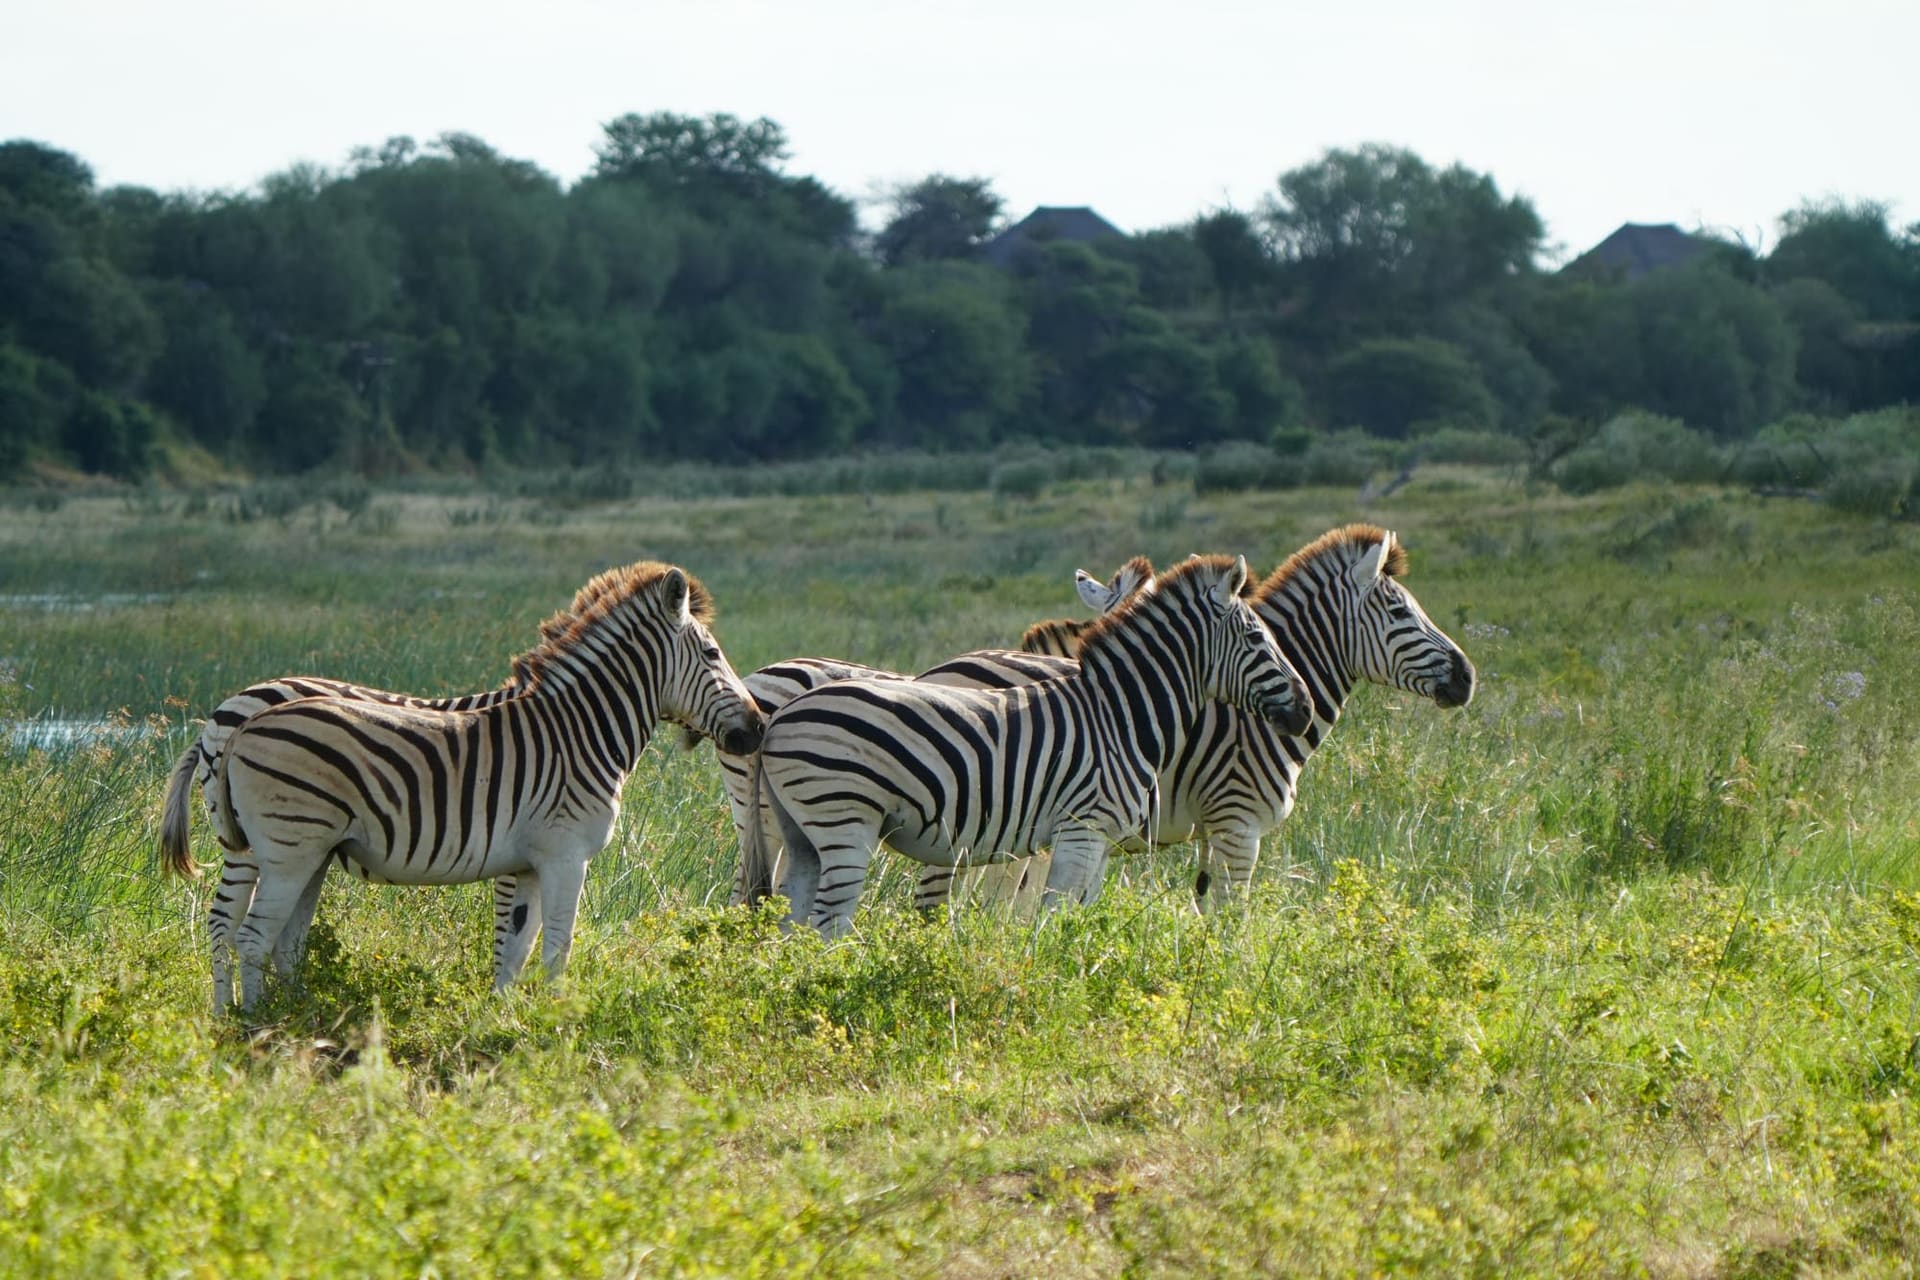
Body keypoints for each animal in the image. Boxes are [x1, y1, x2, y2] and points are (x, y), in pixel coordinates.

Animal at [159, 561, 765, 1011]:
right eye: (714, 654)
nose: (757, 729)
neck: (576, 730)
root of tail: (239, 719)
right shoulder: (564, 854)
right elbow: (557, 947)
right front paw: (560, 1022)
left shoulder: (526, 862)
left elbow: (516, 947)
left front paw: (504, 1021)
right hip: (283, 848)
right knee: (247, 934)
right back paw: (253, 1025)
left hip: (297, 851)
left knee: (262, 934)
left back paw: (271, 1015)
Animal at [737, 554, 1314, 937]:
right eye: (1259, 638)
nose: (1306, 709)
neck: (1119, 713)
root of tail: (780, 717)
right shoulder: (1082, 828)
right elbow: (1054, 918)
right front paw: (1052, 987)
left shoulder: (1097, 838)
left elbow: (1077, 916)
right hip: (845, 821)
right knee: (826, 926)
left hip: (801, 832)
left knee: (790, 922)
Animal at [919, 524, 1477, 911]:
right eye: (1401, 614)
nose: (1468, 677)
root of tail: (934, 671)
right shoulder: (1238, 824)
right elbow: (1232, 921)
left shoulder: (1212, 832)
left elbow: (1205, 908)